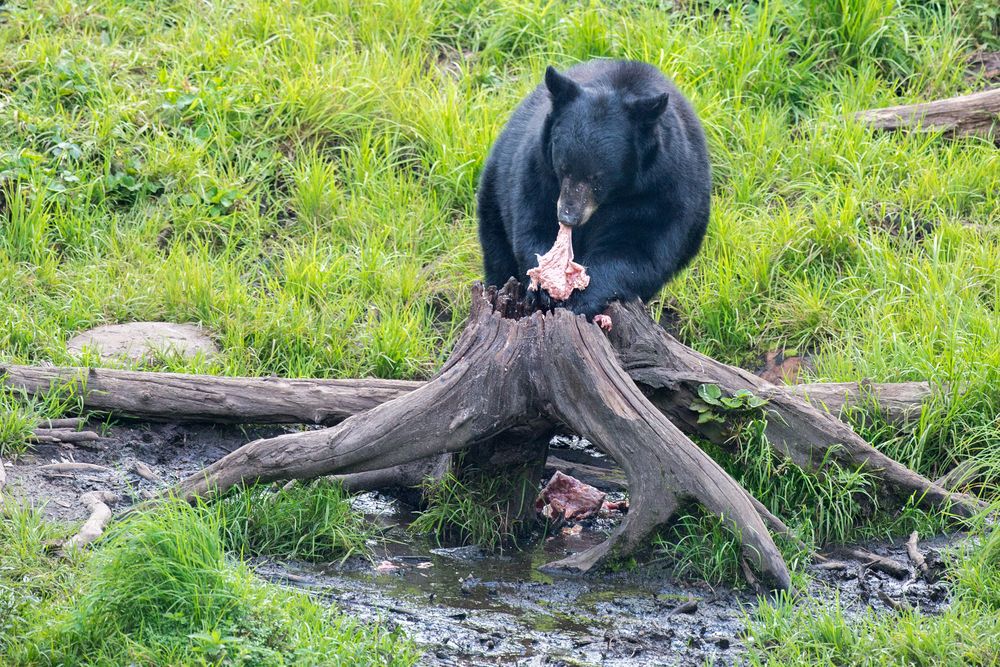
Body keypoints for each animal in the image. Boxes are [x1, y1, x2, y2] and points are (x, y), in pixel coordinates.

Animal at [476, 59, 711, 319]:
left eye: (597, 177)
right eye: (564, 167)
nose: (568, 217)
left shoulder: (661, 190)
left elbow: (639, 246)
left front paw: (581, 298)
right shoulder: (538, 170)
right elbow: (534, 223)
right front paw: (545, 285)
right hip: (495, 187)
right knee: (497, 251)